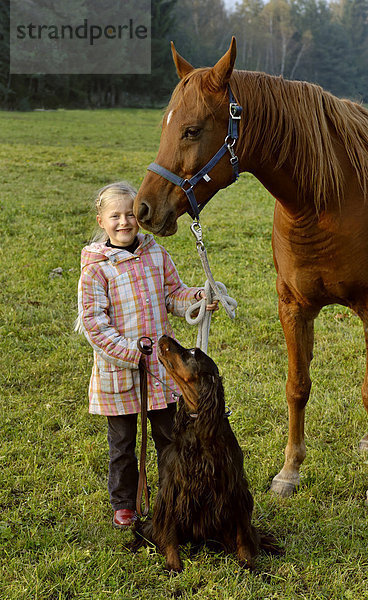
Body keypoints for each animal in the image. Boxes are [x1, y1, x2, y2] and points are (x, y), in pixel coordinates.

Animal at [134, 37, 368, 496]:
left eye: (191, 130)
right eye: (165, 126)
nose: (143, 209)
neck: (327, 202)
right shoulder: (292, 305)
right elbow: (297, 386)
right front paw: (289, 472)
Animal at [134, 336, 280, 568]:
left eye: (194, 352)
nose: (163, 337)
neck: (199, 420)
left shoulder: (234, 489)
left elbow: (243, 533)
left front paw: (247, 562)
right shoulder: (173, 489)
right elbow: (170, 533)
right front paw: (174, 565)